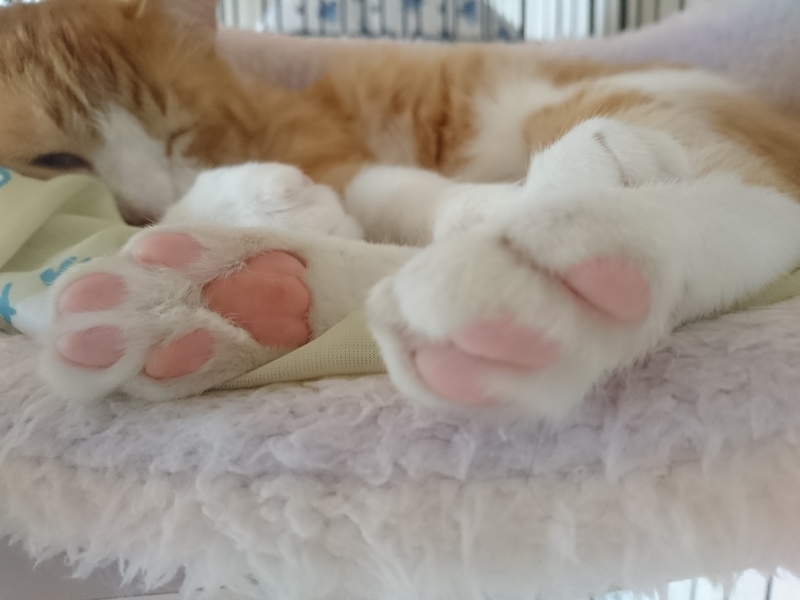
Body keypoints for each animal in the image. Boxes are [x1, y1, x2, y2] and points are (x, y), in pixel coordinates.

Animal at [2, 0, 800, 416]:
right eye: (57, 160)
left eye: (180, 132)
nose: (138, 206)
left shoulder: (339, 149)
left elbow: (396, 189)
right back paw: (215, 299)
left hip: (607, 103)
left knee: (761, 207)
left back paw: (578, 246)